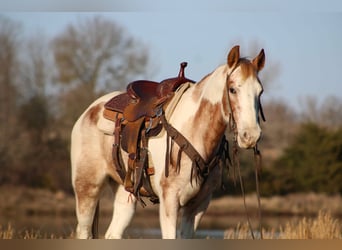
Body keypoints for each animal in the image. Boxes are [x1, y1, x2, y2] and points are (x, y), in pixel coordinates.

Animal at [71, 45, 266, 238]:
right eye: (232, 89)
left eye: (260, 91)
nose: (251, 136)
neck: (194, 130)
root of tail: (89, 112)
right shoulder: (169, 201)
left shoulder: (198, 205)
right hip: (87, 188)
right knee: (84, 231)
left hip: (124, 193)